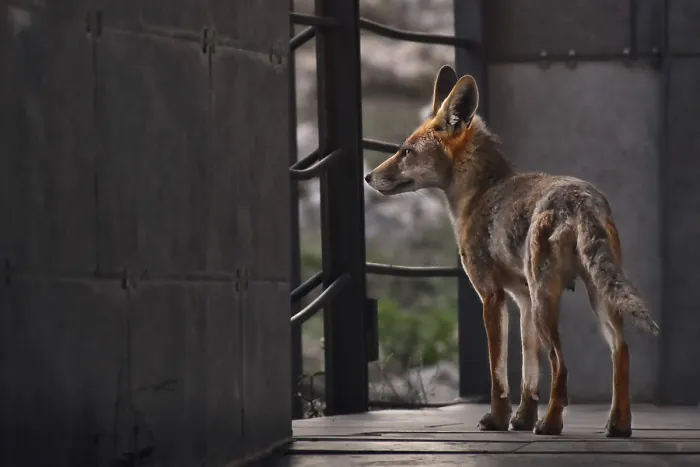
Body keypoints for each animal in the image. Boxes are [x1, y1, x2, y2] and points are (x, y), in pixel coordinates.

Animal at [364, 65, 660, 438]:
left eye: (406, 151)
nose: (369, 176)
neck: (479, 195)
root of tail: (581, 199)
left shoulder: (492, 296)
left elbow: (498, 375)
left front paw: (498, 420)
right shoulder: (523, 300)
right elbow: (529, 374)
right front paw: (521, 420)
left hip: (549, 300)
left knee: (561, 365)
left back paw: (551, 425)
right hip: (592, 300)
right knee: (621, 353)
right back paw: (617, 425)